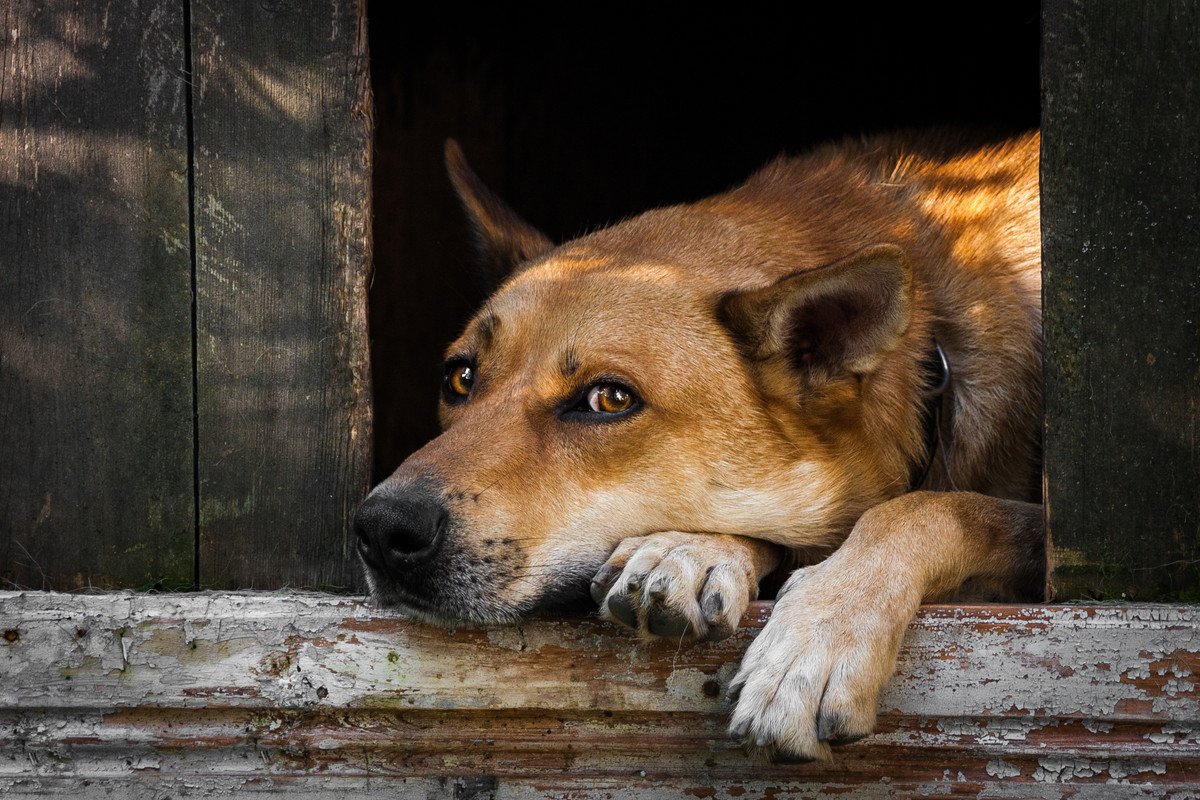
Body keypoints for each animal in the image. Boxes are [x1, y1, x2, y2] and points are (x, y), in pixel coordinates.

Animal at [352, 128, 1041, 762]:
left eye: (610, 399)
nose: (380, 529)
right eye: (460, 377)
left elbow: (930, 508)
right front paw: (689, 550)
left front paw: (817, 639)